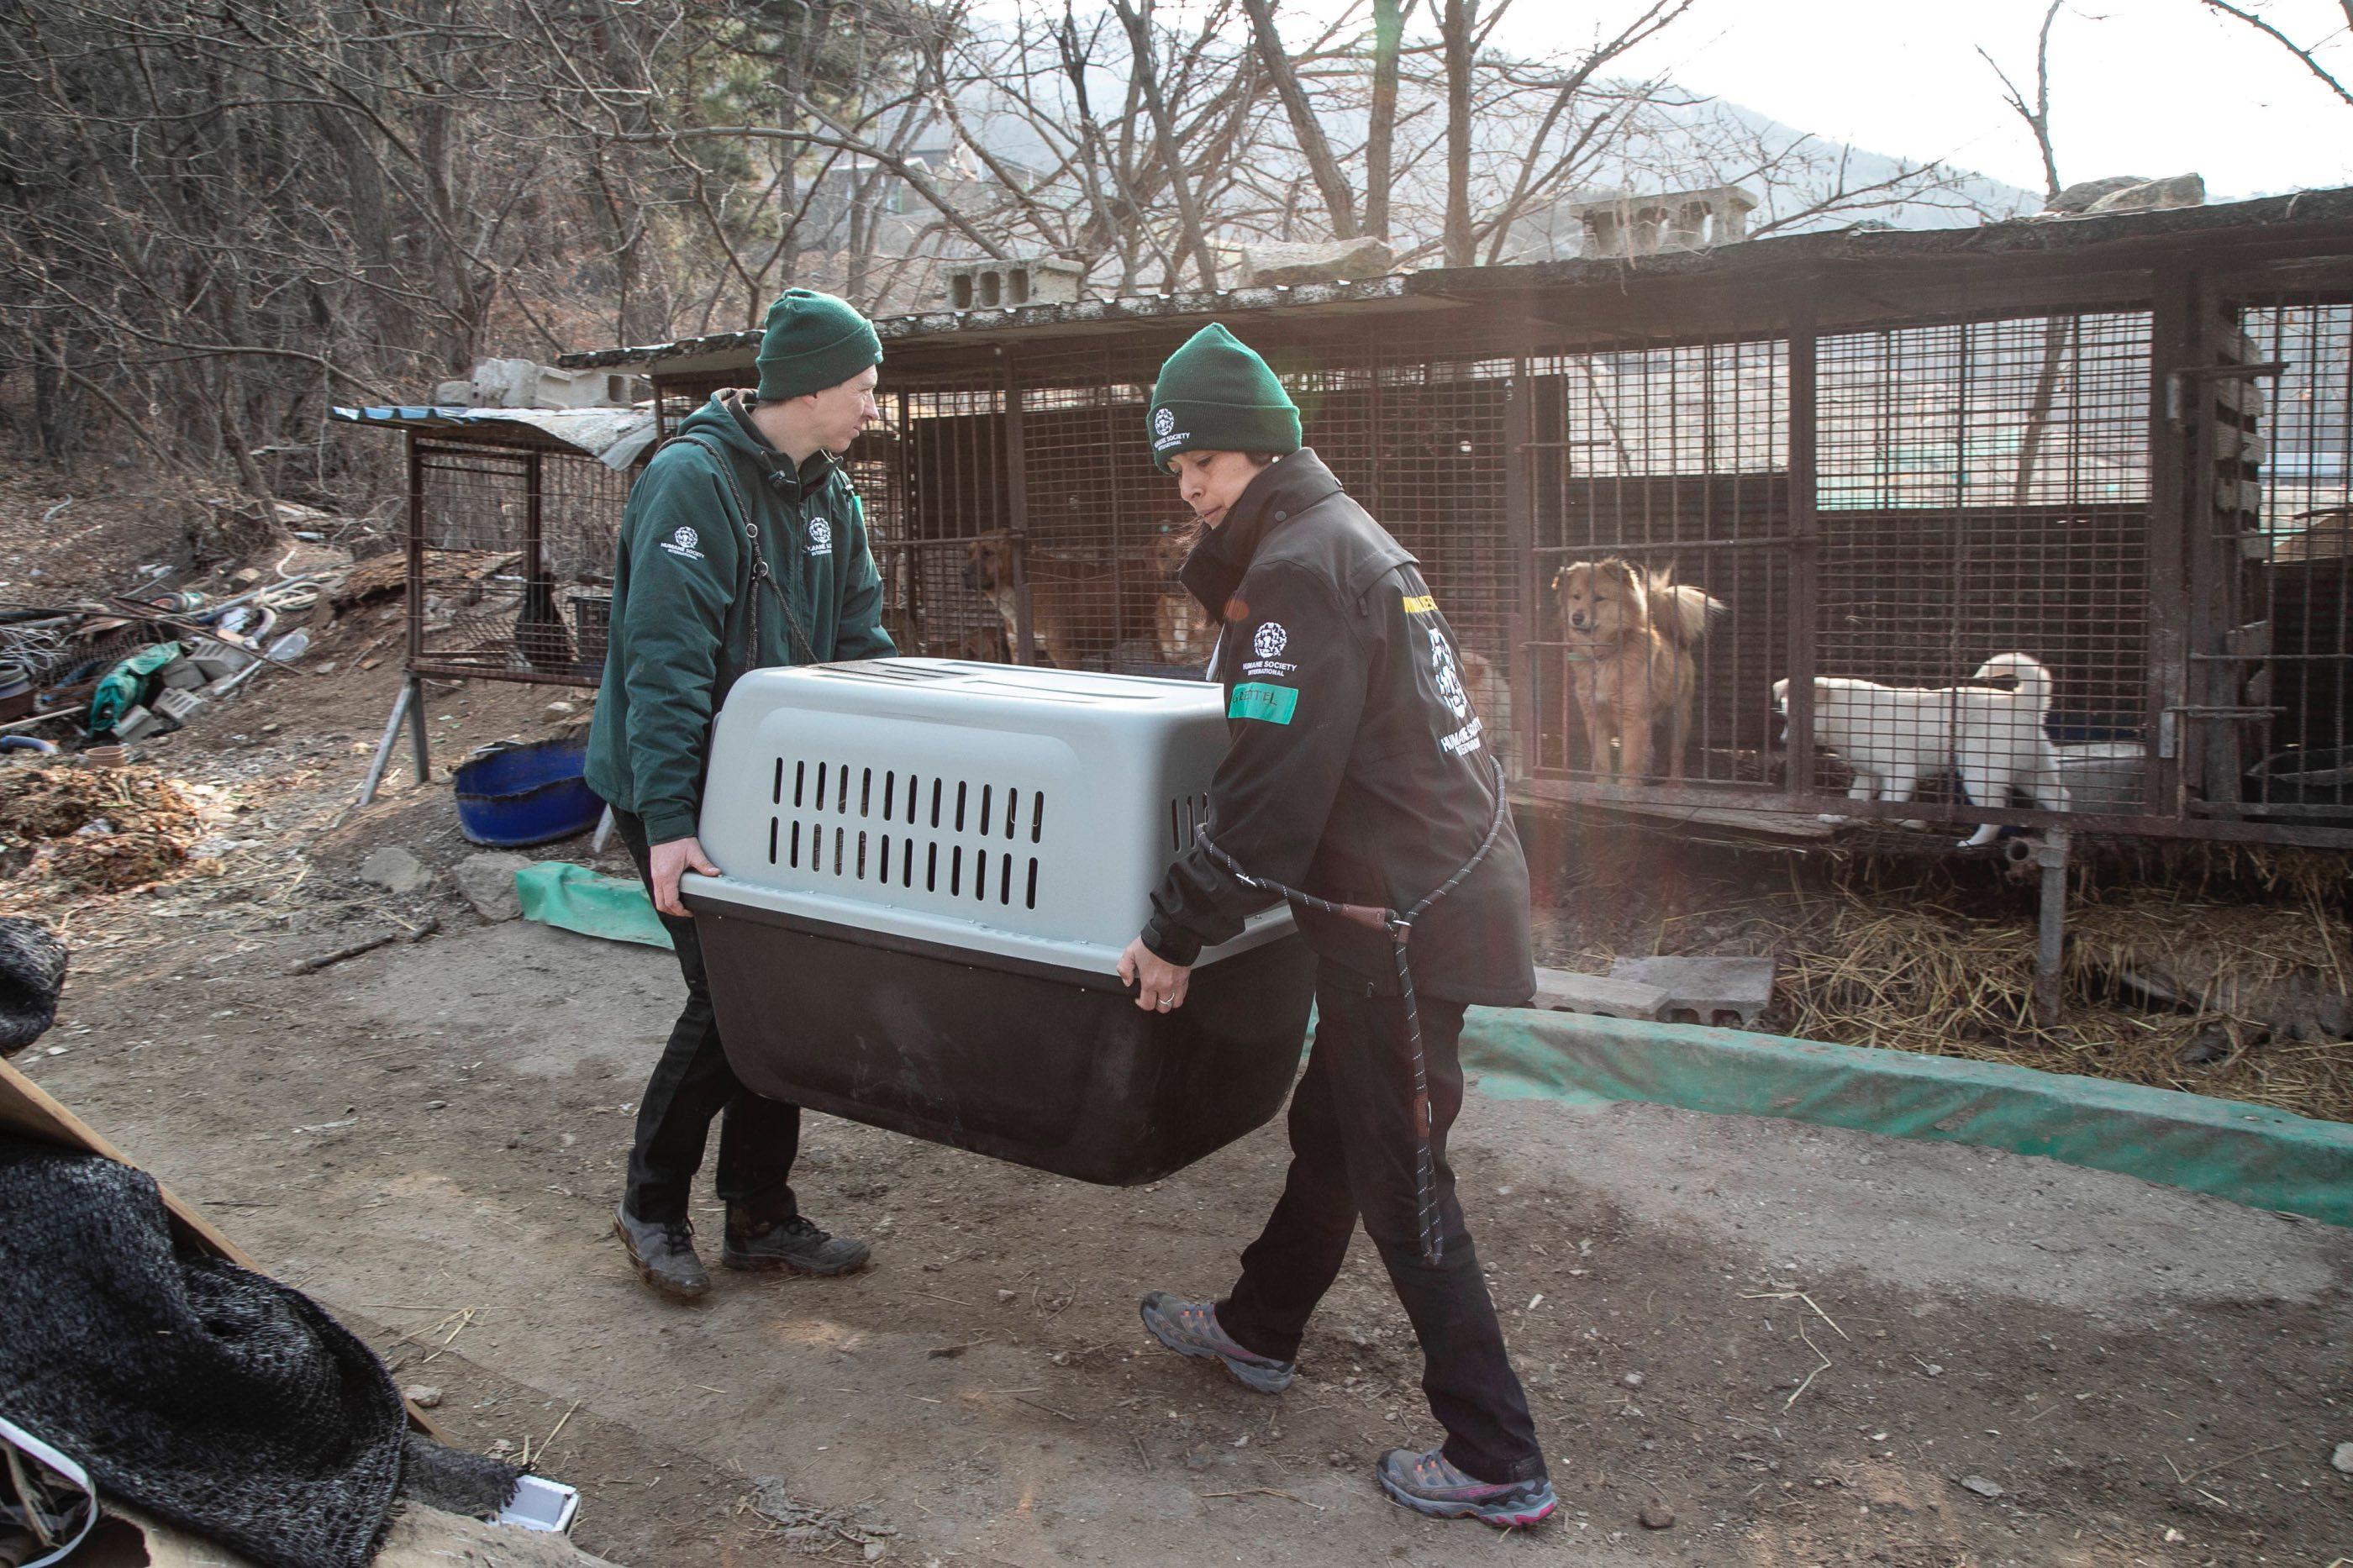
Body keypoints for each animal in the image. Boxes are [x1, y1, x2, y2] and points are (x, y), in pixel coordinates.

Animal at [1553, 558, 1722, 781]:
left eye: (1599, 598)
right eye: (1576, 597)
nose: (1577, 617)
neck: (1606, 656)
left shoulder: (1633, 718)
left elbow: (1629, 766)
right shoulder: (1596, 718)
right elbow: (1602, 764)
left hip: (1679, 717)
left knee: (1677, 755)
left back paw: (1674, 784)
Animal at [1769, 645, 2071, 843]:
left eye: (1792, 719)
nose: (1782, 741)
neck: (1849, 714)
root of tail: (2021, 704)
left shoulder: (1900, 772)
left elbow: (1889, 807)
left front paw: (1913, 822)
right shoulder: (1869, 775)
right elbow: (1855, 799)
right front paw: (1835, 816)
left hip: (1979, 775)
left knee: (1994, 816)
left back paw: (1972, 842)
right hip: (2032, 774)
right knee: (2062, 799)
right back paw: (2060, 832)